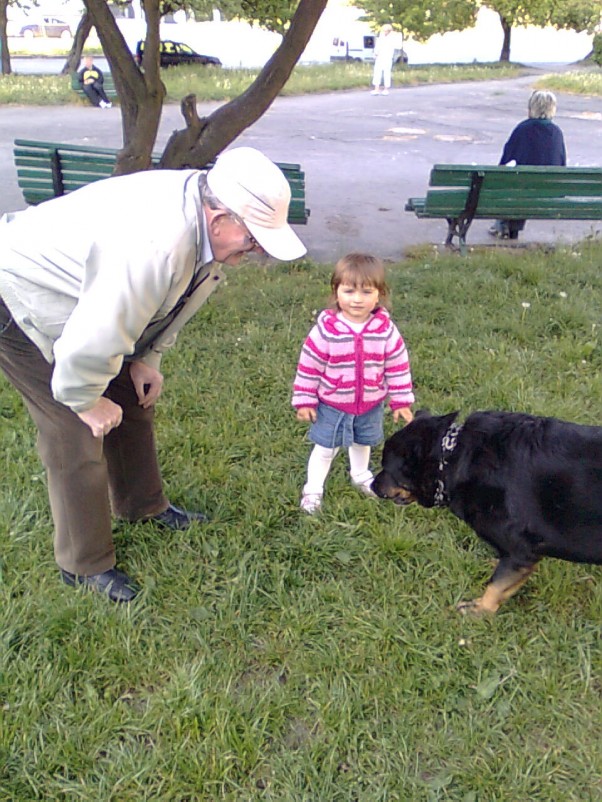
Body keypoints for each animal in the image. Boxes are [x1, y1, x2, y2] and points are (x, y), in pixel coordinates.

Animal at [372, 410, 596, 616]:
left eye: (386, 468)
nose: (372, 485)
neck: (451, 458)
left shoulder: (521, 552)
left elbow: (495, 586)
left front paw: (479, 610)